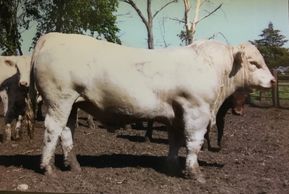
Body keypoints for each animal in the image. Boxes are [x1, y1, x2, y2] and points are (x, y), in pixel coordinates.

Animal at [29, 32, 274, 183]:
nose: (272, 80)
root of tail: (53, 36)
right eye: (254, 63)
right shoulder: (197, 111)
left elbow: (176, 141)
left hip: (72, 103)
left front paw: (172, 166)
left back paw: (74, 165)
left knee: (67, 131)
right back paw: (48, 167)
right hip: (59, 100)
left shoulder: (178, 114)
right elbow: (193, 143)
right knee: (52, 130)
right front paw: (195, 173)